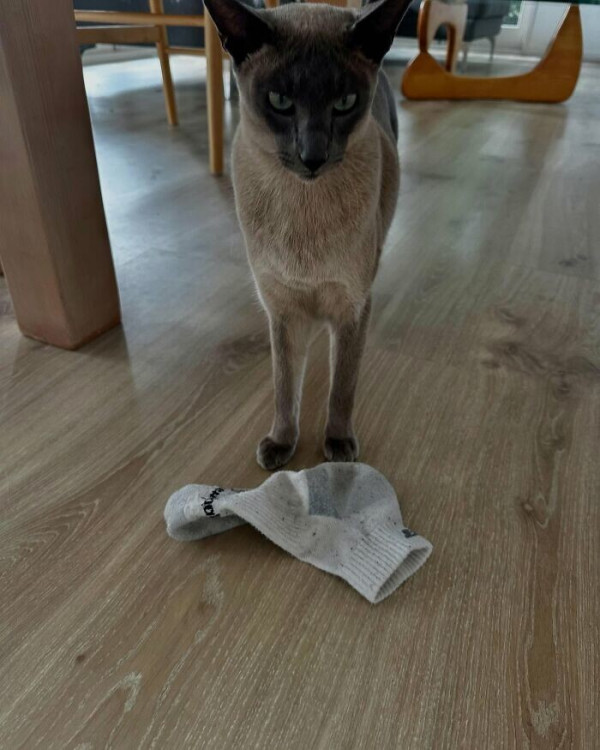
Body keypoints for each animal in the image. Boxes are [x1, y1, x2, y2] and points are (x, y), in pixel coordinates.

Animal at [204, 0, 412, 469]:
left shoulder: (352, 308)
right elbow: (285, 387)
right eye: (280, 101)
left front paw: (337, 445)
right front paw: (281, 444)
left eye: (345, 102)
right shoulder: (282, 311)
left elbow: (343, 387)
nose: (312, 156)